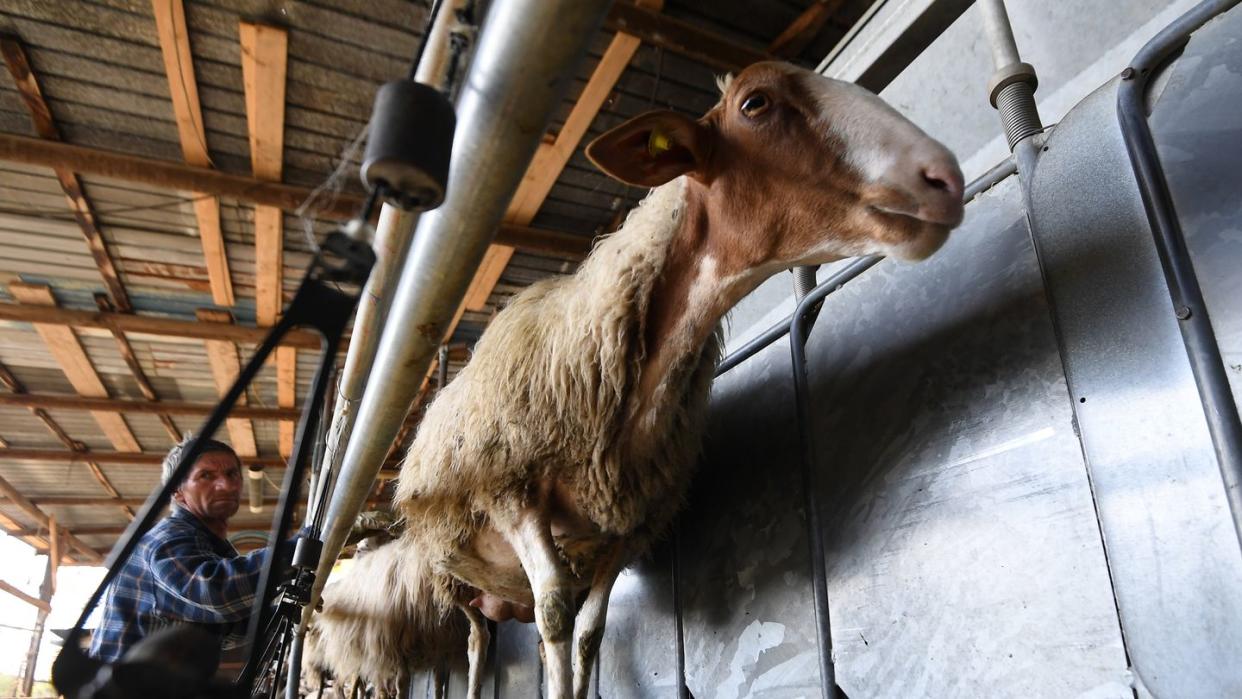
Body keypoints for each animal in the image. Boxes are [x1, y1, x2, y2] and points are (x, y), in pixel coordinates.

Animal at [305, 61, 963, 699]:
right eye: (755, 104)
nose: (945, 178)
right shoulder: (511, 494)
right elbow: (554, 617)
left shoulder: (625, 526)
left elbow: (588, 635)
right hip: (450, 576)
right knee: (473, 642)